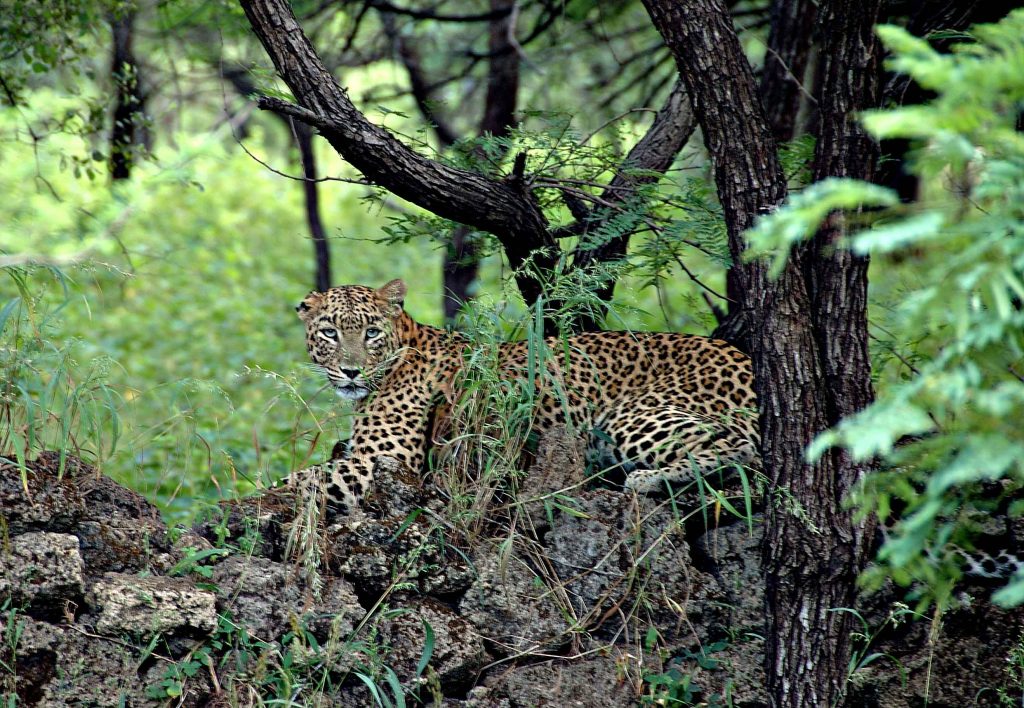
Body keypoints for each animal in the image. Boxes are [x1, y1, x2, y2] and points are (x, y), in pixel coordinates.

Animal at [292, 280, 757, 518]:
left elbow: (301, 481)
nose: (352, 371)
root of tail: (746, 359)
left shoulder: (385, 462)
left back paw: (649, 479)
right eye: (330, 332)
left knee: (744, 452)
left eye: (371, 332)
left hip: (631, 415)